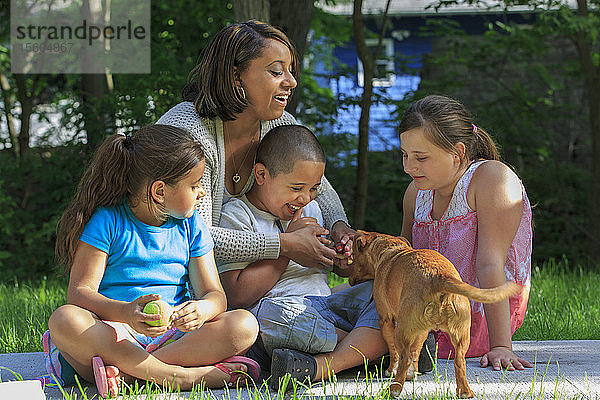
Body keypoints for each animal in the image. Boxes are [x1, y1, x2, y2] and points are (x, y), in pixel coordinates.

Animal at [350, 230, 516, 398]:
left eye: (352, 257)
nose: (349, 279)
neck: (390, 249)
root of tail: (438, 278)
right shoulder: (422, 331)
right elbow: (415, 352)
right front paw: (412, 374)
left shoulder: (386, 320)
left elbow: (394, 352)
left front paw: (391, 371)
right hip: (461, 337)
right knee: (459, 361)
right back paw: (465, 392)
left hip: (401, 332)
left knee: (404, 358)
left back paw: (394, 389)